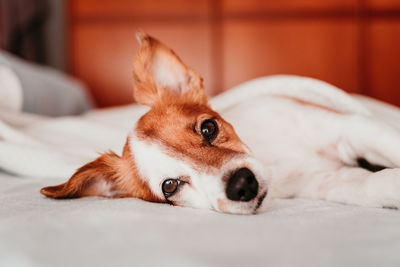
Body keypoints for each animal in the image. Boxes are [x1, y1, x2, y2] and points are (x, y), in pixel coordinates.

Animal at [40, 31, 400, 216]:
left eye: (208, 128)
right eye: (169, 186)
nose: (242, 185)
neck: (276, 159)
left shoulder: (351, 127)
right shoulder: (326, 180)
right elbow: (370, 185)